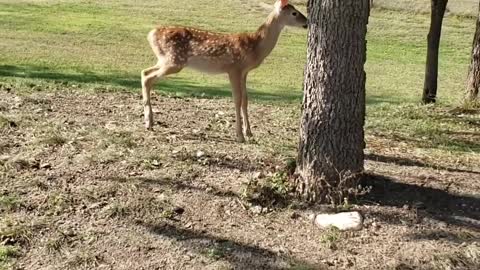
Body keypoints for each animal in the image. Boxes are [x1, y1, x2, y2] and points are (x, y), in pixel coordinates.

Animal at [141, 0, 310, 142]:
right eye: (294, 13)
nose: (307, 22)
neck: (255, 47)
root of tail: (150, 34)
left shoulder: (244, 72)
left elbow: (245, 100)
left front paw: (249, 132)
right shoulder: (234, 68)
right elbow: (237, 99)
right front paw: (240, 136)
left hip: (165, 59)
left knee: (144, 72)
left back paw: (150, 121)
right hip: (174, 60)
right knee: (148, 77)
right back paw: (149, 122)